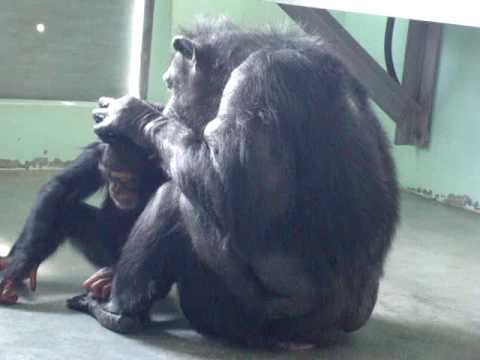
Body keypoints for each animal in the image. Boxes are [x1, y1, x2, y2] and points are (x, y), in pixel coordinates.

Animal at [0, 136, 168, 306]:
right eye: (110, 176)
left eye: (125, 179)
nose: (116, 188)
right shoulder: (95, 154)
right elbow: (61, 186)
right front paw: (21, 265)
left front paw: (109, 278)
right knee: (64, 209)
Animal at [77, 18, 400, 348]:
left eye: (170, 83)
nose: (166, 107)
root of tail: (320, 335)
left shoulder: (257, 79)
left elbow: (226, 188)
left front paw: (131, 114)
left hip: (241, 314)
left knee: (177, 198)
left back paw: (116, 313)